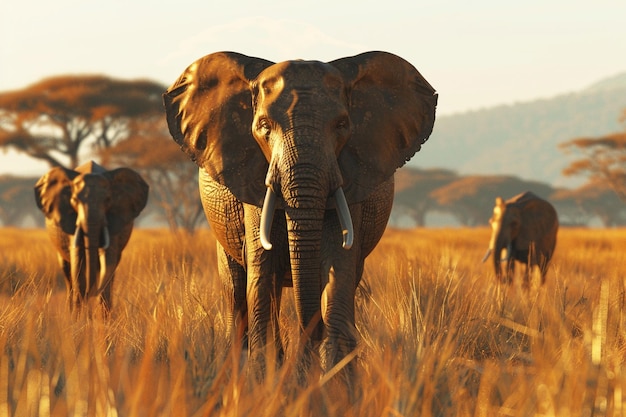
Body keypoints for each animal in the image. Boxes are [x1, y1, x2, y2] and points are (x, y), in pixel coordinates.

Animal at [35, 161, 149, 310]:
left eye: (108, 200)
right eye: (74, 200)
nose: (92, 293)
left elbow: (108, 260)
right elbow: (78, 266)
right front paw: (79, 315)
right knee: (68, 273)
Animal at [163, 50, 436, 378]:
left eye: (342, 125)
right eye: (264, 126)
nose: (310, 341)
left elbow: (339, 264)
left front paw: (334, 378)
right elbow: (261, 265)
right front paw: (266, 378)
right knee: (236, 289)